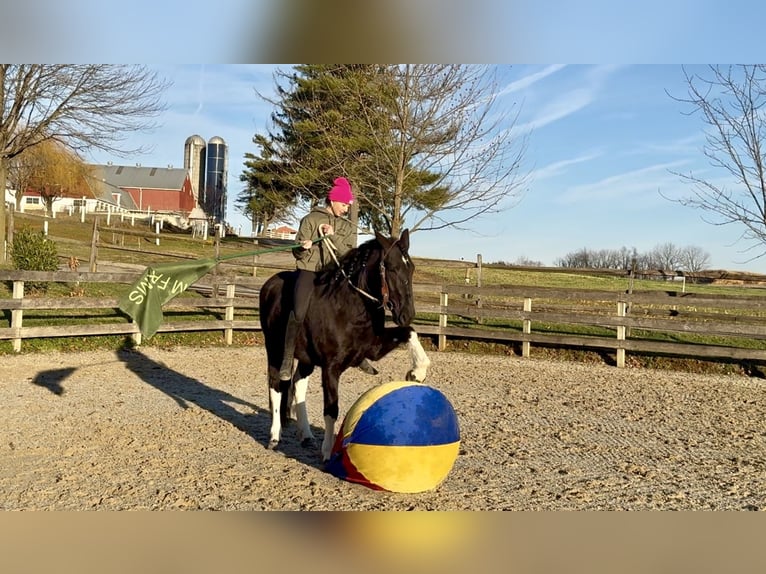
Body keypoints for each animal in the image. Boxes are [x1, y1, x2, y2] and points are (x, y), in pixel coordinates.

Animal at [258, 228, 431, 461]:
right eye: (393, 268)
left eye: (410, 268)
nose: (407, 314)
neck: (349, 306)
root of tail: (269, 284)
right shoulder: (331, 368)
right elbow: (331, 409)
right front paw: (328, 452)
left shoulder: (374, 349)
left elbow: (410, 332)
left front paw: (417, 372)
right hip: (275, 349)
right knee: (276, 385)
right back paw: (275, 437)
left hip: (306, 359)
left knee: (298, 386)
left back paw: (306, 435)